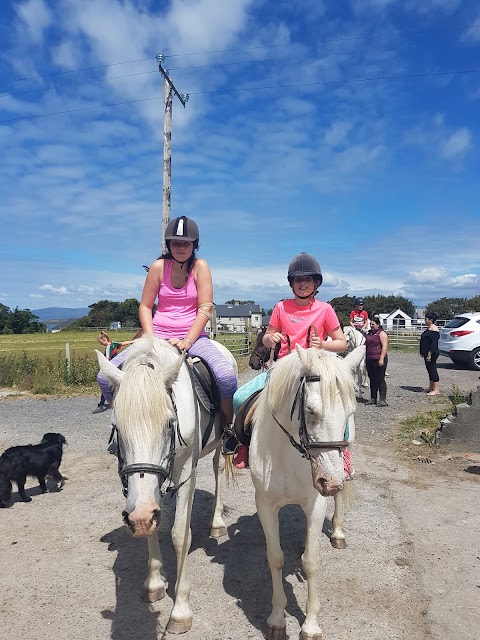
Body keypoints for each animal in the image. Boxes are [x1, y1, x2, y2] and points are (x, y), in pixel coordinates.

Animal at [97, 338, 238, 632]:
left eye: (170, 423)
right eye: (117, 427)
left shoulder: (186, 474)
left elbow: (180, 534)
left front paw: (180, 610)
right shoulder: (146, 492)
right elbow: (152, 523)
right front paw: (154, 583)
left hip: (220, 442)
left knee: (218, 470)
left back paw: (217, 523)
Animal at [251, 344, 364, 640]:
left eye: (350, 411)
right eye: (311, 410)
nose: (330, 482)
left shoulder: (316, 502)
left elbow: (311, 562)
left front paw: (311, 624)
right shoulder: (265, 504)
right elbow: (275, 558)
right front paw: (277, 619)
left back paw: (337, 533)